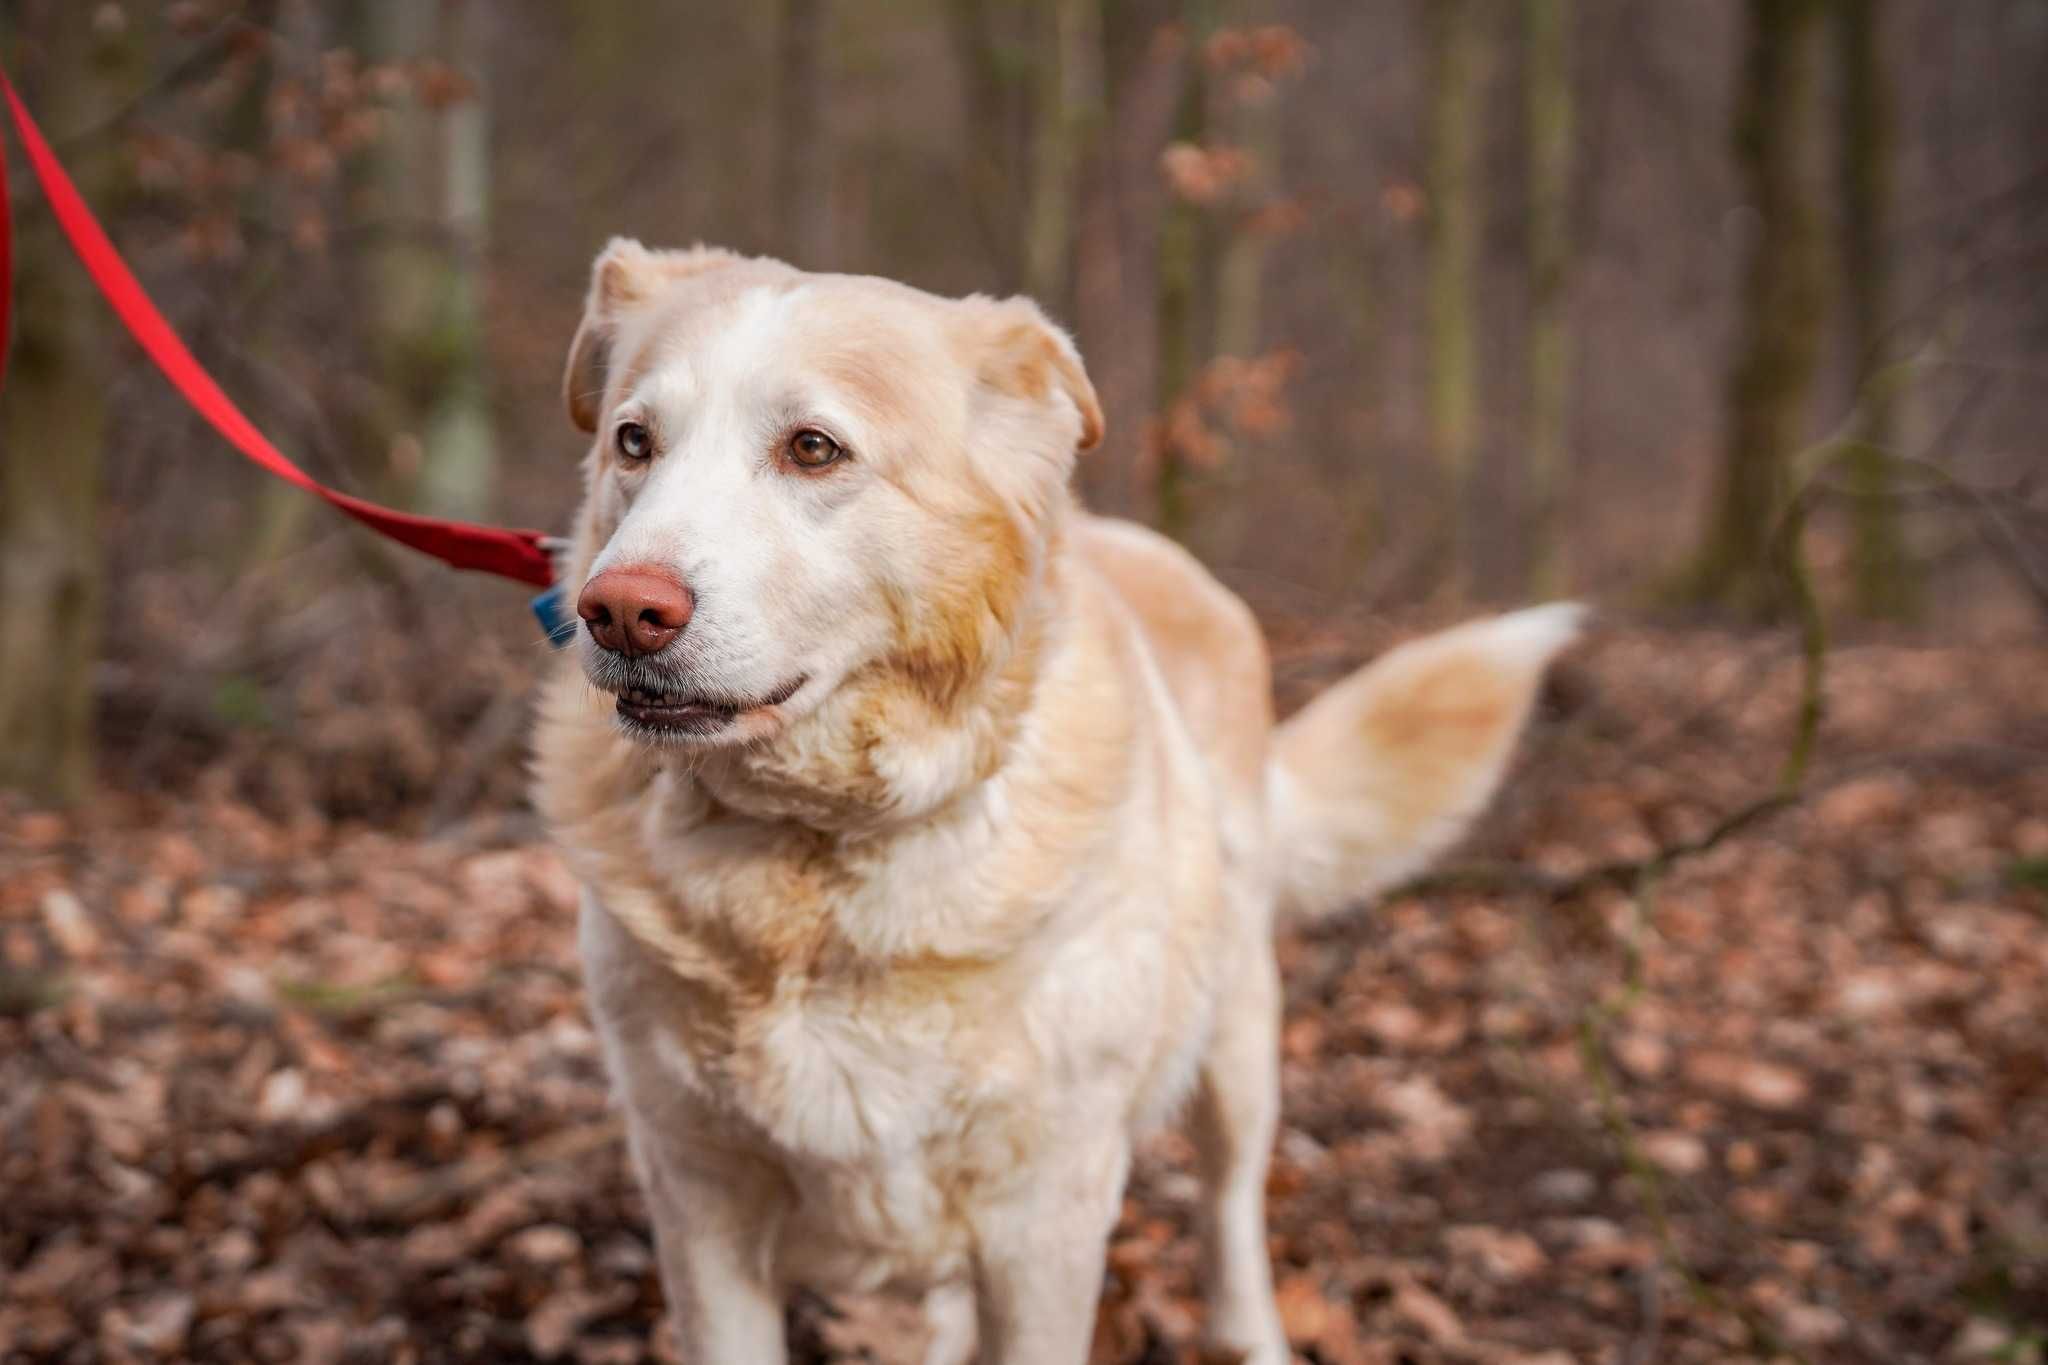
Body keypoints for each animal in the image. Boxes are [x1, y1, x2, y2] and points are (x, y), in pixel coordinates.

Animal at [532, 242, 1581, 1365]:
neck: (823, 853)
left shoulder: (1048, 1217)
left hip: (1237, 1037)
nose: (620, 610)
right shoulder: (699, 1204)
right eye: (633, 442)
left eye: (812, 448)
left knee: (1230, 1205)